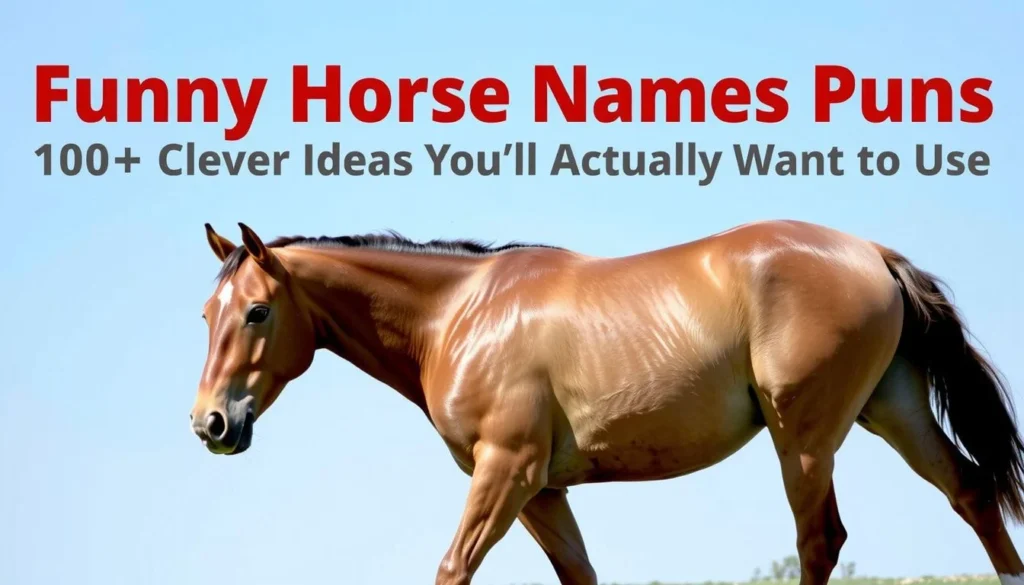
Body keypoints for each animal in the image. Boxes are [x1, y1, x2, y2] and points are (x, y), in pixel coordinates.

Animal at [190, 219, 1024, 585]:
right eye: (206, 314)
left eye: (256, 311)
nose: (211, 423)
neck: (461, 311)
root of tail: (870, 253)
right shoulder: (542, 492)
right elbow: (580, 575)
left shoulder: (506, 471)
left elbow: (453, 567)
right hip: (895, 412)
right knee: (975, 493)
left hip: (806, 438)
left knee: (821, 540)